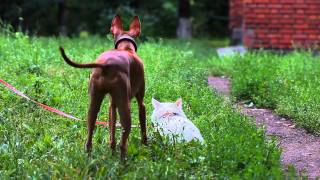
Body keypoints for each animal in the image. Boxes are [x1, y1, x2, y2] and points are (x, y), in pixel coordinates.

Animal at [58, 15, 146, 159]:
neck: (126, 48)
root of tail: (106, 64)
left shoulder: (112, 105)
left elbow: (112, 131)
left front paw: (111, 150)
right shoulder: (141, 103)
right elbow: (143, 124)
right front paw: (145, 145)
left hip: (93, 105)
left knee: (89, 137)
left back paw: (89, 157)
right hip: (125, 107)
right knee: (123, 142)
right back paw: (123, 161)